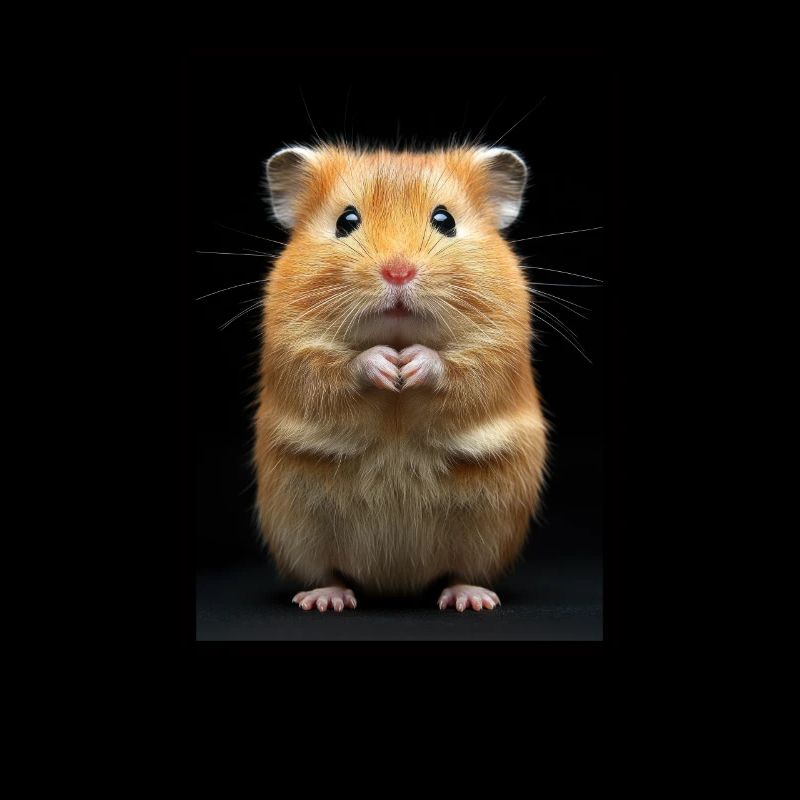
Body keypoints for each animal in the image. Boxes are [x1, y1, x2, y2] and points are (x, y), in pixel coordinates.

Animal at [254, 144, 548, 612]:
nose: (397, 272)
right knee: (327, 572)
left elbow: (464, 368)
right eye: (346, 221)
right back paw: (326, 599)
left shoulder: (499, 346)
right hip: (297, 527)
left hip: (490, 528)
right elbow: (331, 366)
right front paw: (386, 367)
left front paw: (409, 365)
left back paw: (471, 599)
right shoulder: (293, 345)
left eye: (444, 220)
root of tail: (395, 584)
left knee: (461, 572)